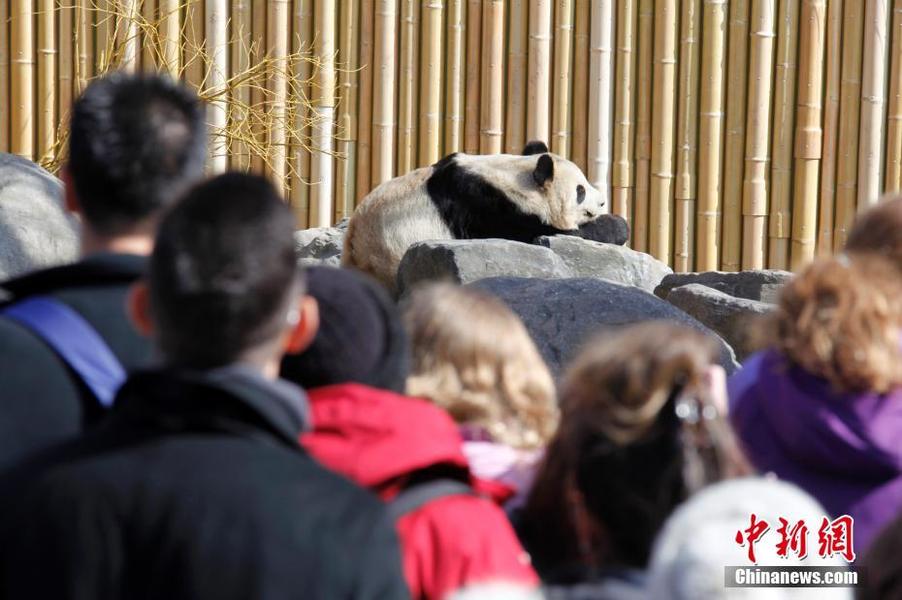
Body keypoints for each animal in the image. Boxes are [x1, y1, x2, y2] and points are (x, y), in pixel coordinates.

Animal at [342, 141, 616, 290]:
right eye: (580, 190)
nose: (602, 201)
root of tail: (354, 244)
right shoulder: (486, 209)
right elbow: (539, 232)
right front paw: (613, 225)